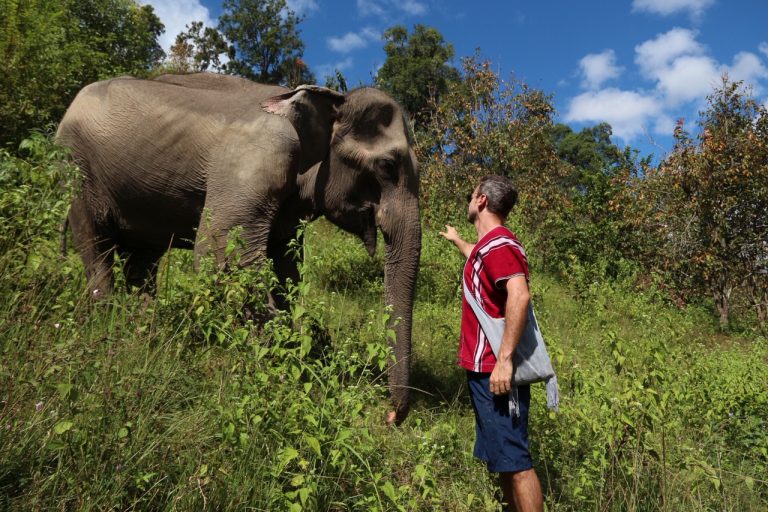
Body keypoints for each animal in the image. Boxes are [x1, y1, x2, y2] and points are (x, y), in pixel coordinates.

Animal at [57, 73, 424, 424]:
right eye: (387, 166)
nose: (392, 415)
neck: (330, 99)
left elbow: (286, 268)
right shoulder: (256, 163)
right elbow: (221, 254)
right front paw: (276, 371)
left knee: (142, 260)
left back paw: (144, 330)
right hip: (76, 169)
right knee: (96, 246)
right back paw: (108, 328)